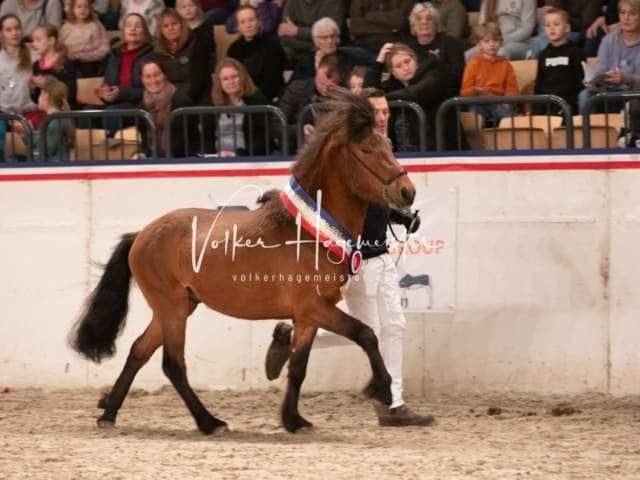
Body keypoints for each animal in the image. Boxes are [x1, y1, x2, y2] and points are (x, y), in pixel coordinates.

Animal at [70, 87, 418, 436]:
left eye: (389, 145)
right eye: (367, 149)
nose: (407, 192)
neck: (310, 231)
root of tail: (141, 234)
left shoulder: (307, 317)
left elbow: (298, 367)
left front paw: (293, 419)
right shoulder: (314, 308)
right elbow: (367, 334)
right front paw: (380, 389)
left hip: (177, 307)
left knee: (139, 351)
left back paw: (109, 411)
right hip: (172, 309)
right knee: (172, 364)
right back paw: (209, 422)